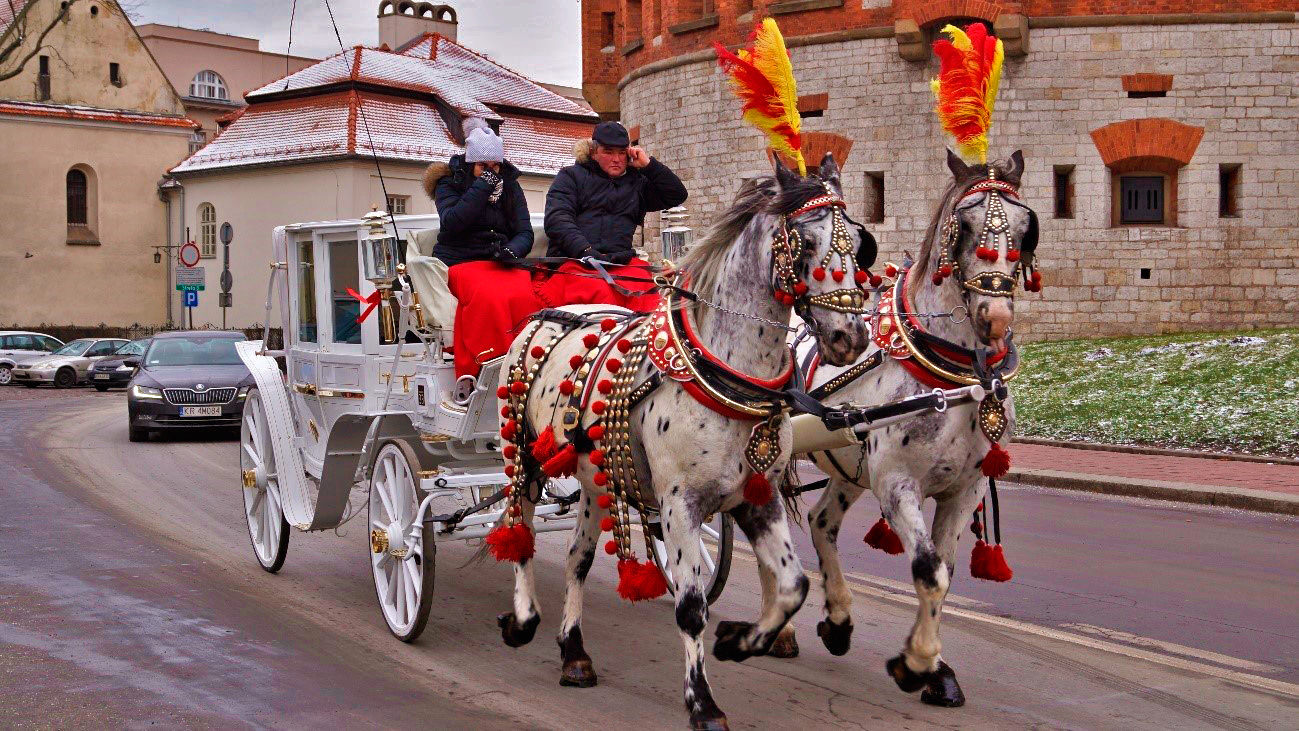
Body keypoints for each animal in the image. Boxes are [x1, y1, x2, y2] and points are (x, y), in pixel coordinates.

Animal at [483, 153, 878, 727]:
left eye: (861, 241)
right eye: (805, 244)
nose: (850, 338)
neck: (725, 373)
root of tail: (541, 317)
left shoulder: (757, 499)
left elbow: (793, 586)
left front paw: (743, 640)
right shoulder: (679, 506)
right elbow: (692, 608)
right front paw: (702, 702)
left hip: (593, 479)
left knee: (578, 557)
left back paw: (574, 652)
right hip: (523, 457)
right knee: (521, 531)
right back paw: (522, 617)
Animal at [789, 149, 1044, 711]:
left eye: (1026, 226)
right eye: (963, 226)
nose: (995, 316)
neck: (956, 376)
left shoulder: (964, 488)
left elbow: (945, 572)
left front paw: (937, 671)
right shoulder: (897, 483)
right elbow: (928, 568)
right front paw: (917, 663)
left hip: (849, 464)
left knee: (821, 522)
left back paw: (838, 619)